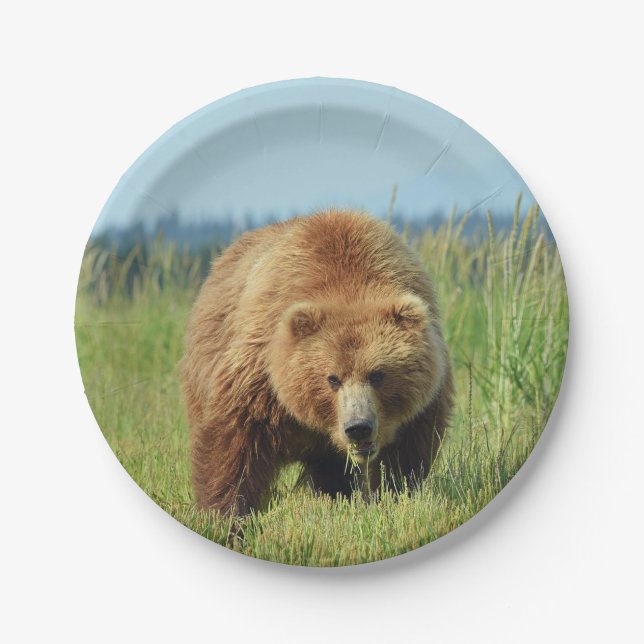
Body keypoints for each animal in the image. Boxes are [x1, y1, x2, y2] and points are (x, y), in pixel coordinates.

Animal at [180, 209, 453, 515]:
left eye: (377, 374)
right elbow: (235, 442)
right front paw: (224, 512)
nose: (358, 427)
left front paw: (394, 495)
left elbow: (405, 456)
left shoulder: (422, 401)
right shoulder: (261, 375)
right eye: (332, 378)